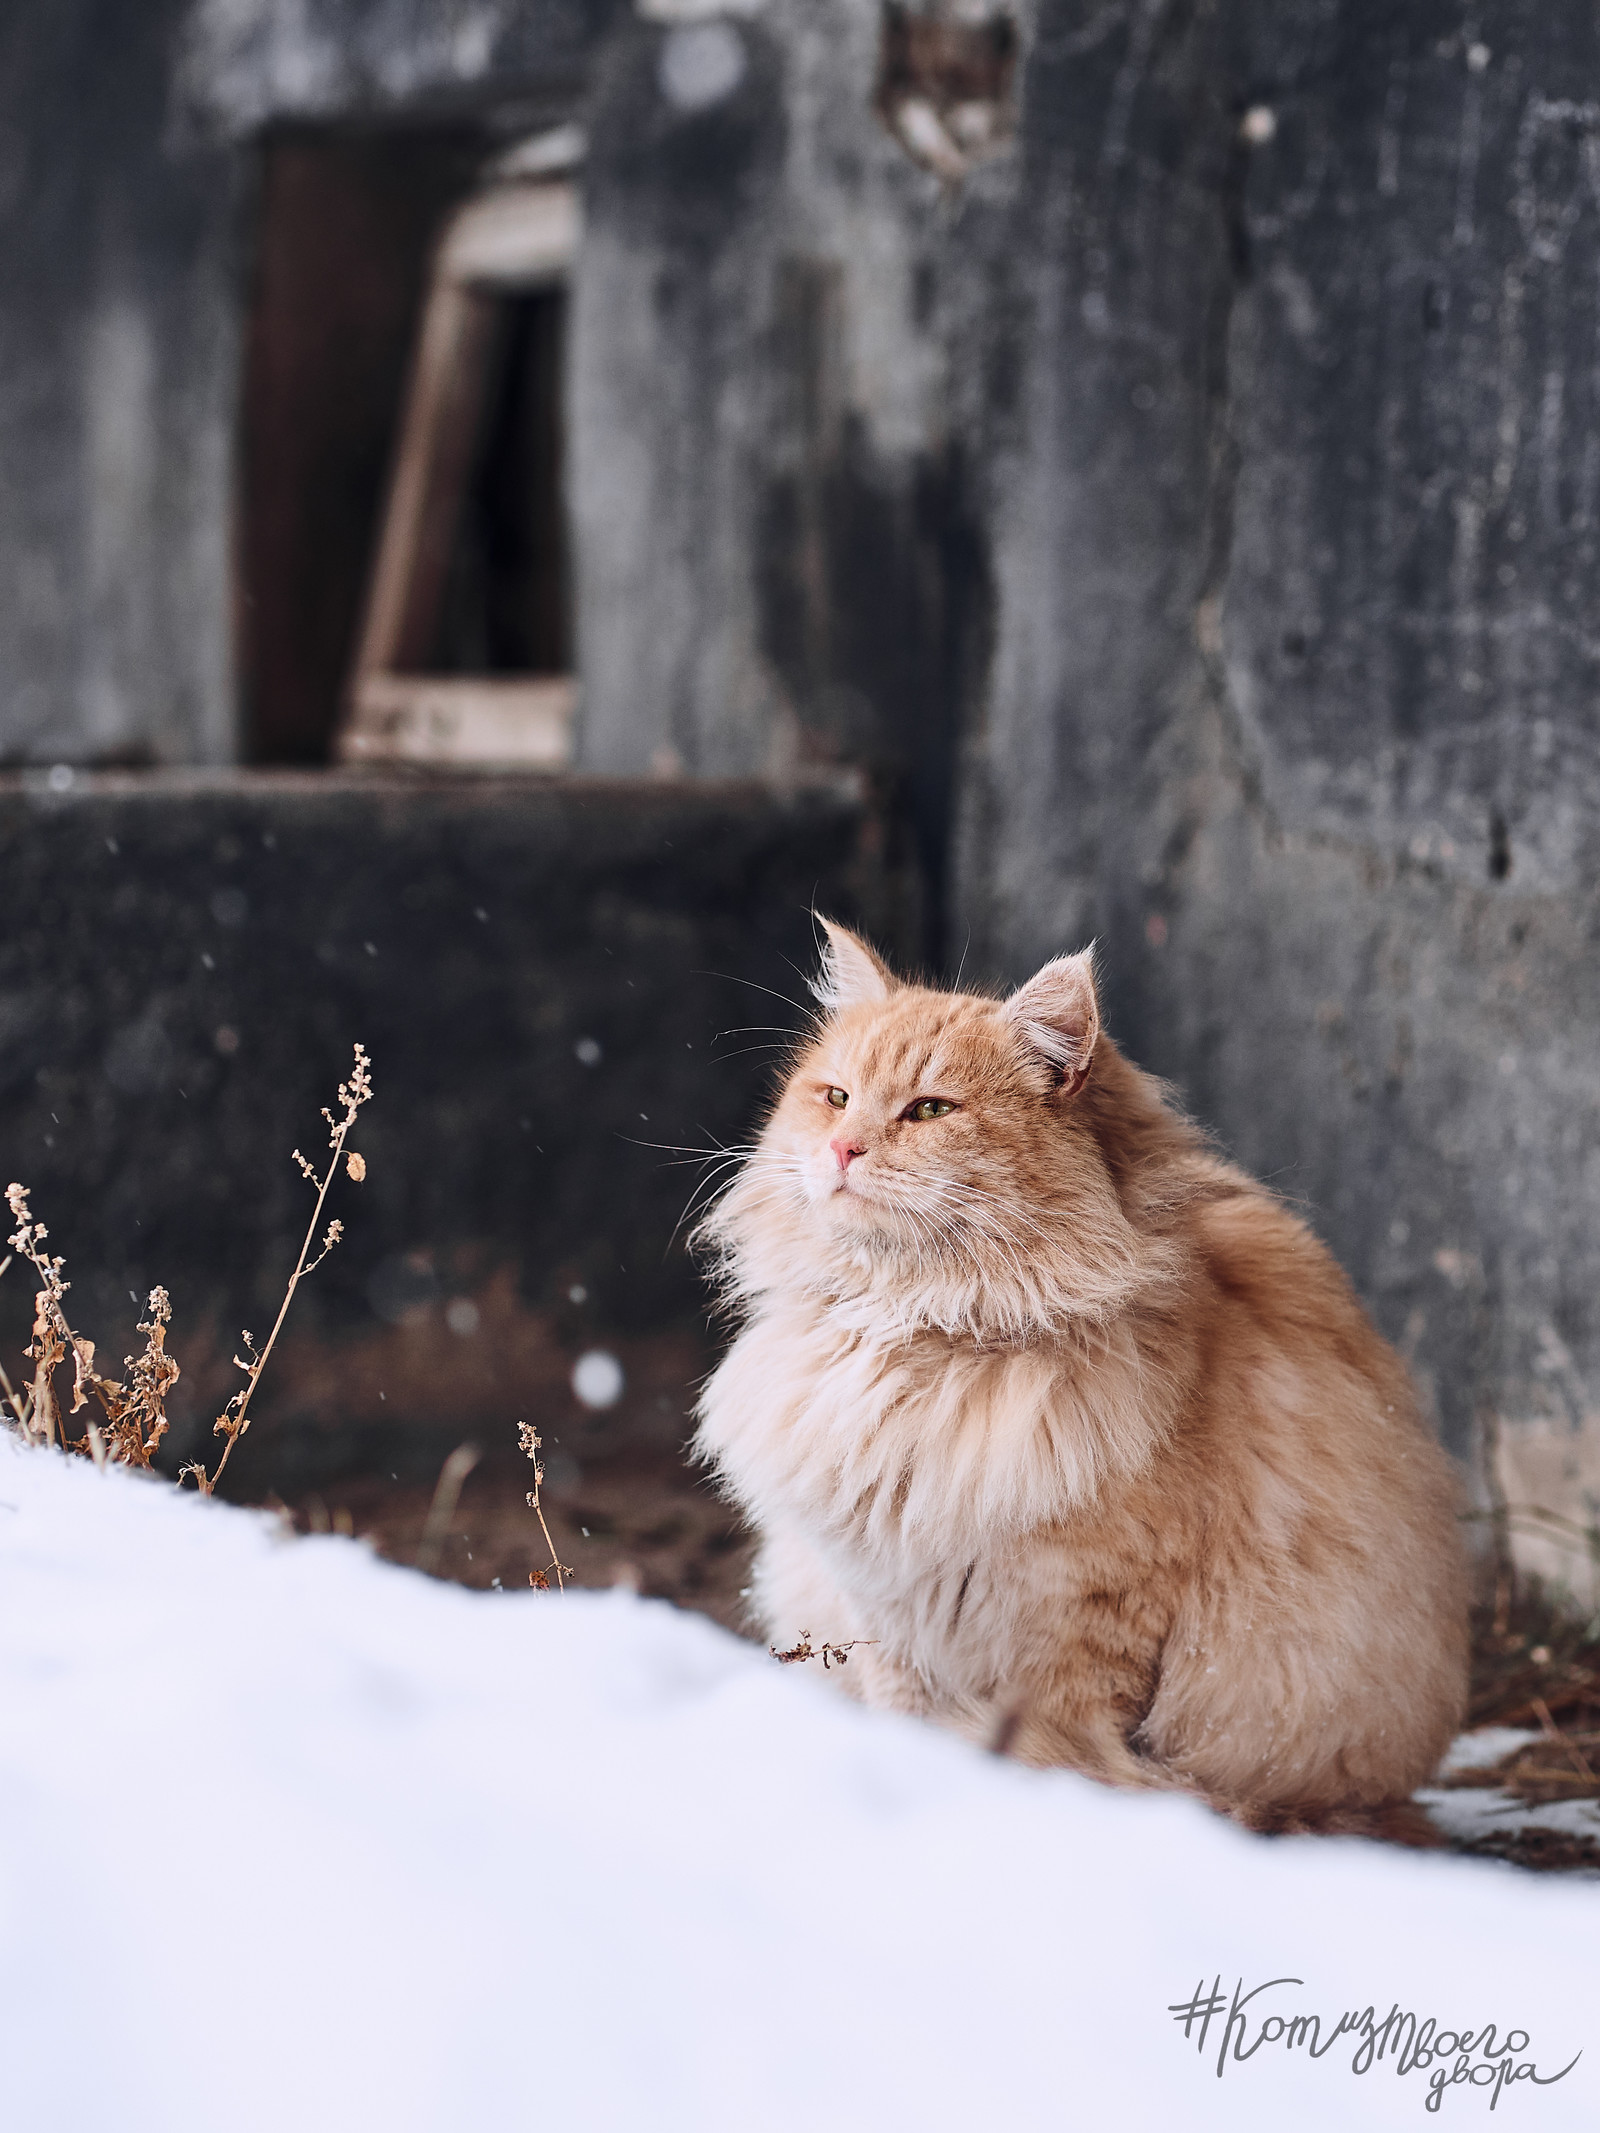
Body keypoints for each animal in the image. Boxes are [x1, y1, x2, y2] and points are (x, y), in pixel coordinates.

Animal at [695, 925, 1476, 1825]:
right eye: (834, 1096)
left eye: (929, 1110)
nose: (840, 1148)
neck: (918, 1330)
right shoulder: (883, 1610)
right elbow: (905, 1712)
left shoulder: (1089, 1627)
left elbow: (1056, 1748)